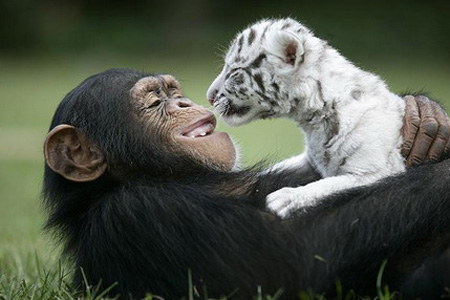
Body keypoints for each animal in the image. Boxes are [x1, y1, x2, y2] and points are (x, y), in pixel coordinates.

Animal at [44, 68, 450, 300]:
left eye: (173, 92)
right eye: (155, 101)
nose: (183, 102)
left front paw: (422, 118)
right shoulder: (139, 216)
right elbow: (292, 265)